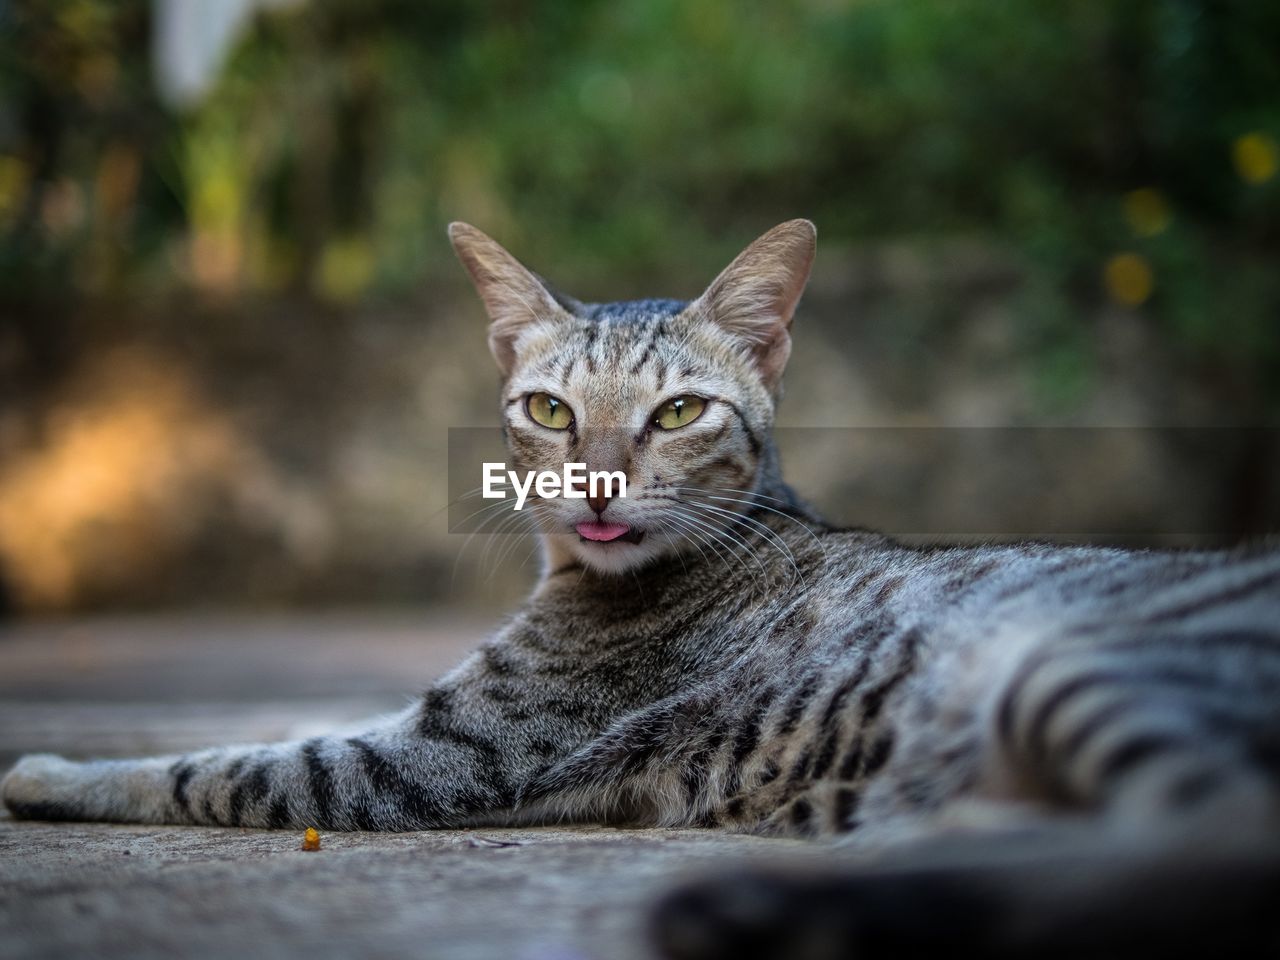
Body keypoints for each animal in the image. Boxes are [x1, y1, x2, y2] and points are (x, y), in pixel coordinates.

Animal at [2, 221, 1280, 957]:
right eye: (548, 410)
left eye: (675, 414)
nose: (597, 479)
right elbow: (255, 735)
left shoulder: (434, 758)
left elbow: (211, 766)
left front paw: (48, 769)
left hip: (1073, 662)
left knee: (1210, 841)